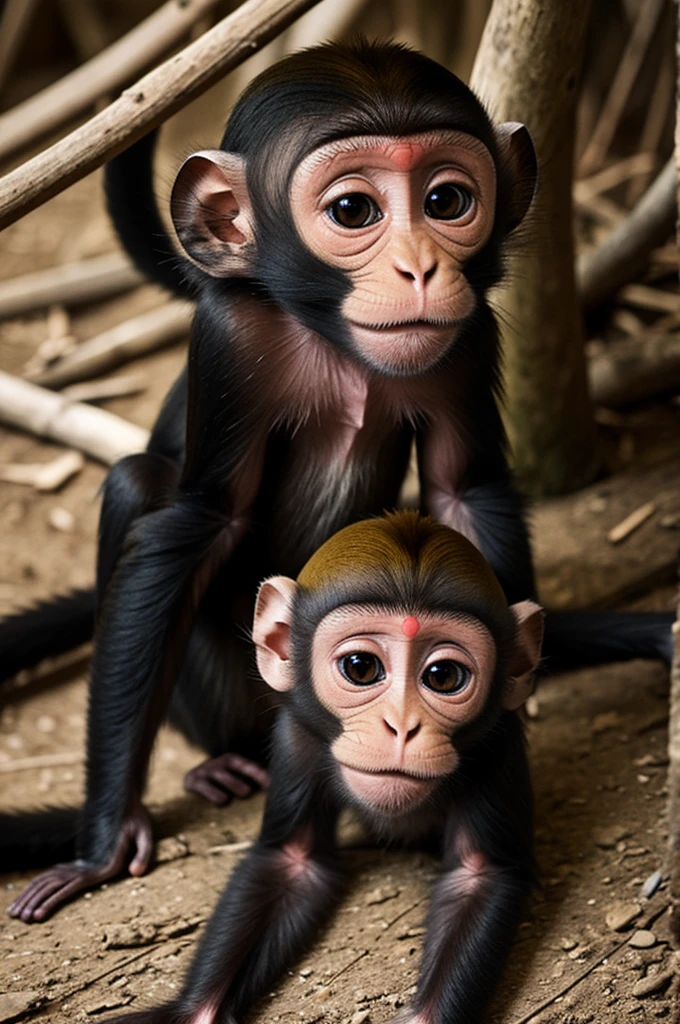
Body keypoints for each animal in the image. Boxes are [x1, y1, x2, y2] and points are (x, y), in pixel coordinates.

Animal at [0, 39, 673, 924]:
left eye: (447, 200)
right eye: (354, 211)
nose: (420, 266)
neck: (330, 335)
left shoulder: (469, 332)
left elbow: (464, 493)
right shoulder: (230, 335)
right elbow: (197, 525)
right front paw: (103, 843)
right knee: (140, 487)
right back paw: (218, 763)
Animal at [95, 510, 543, 1024]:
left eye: (443, 676)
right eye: (360, 666)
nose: (402, 726)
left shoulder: (498, 744)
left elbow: (478, 875)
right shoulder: (297, 738)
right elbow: (293, 862)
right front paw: (197, 1013)